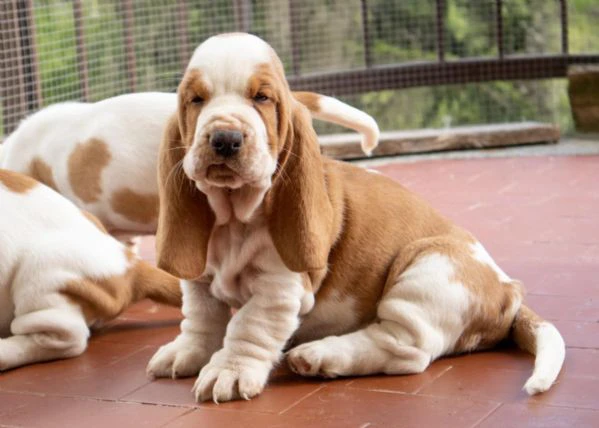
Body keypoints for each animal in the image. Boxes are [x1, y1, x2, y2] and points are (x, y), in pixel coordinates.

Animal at [148, 32, 564, 402]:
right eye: (196, 100)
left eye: (262, 98)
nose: (225, 139)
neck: (234, 215)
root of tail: (508, 290)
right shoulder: (200, 277)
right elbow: (202, 315)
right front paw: (189, 351)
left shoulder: (278, 287)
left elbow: (249, 326)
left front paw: (230, 371)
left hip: (427, 272)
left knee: (403, 349)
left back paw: (318, 355)